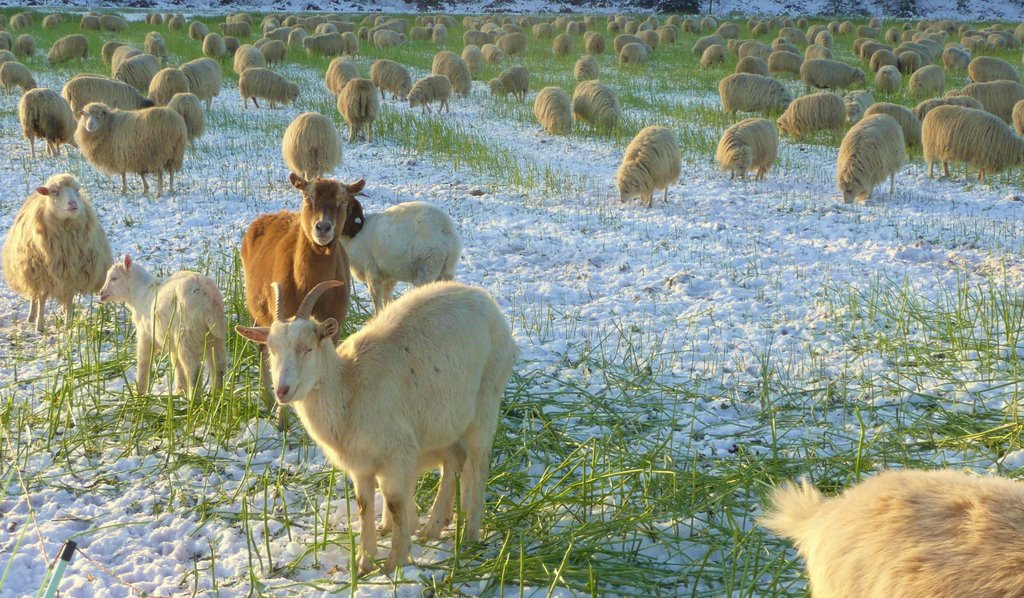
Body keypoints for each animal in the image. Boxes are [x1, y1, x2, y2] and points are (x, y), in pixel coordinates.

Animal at [1, 172, 111, 331]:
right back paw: (31, 316)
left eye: (77, 189)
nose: (73, 204)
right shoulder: (42, 274)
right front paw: (39, 325)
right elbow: (41, 299)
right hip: (31, 271)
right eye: (54, 191)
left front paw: (68, 324)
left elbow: (69, 298)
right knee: (34, 296)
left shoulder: (73, 274)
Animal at [98, 254, 226, 395]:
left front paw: (139, 392)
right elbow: (176, 363)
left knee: (194, 370)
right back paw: (218, 394)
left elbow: (144, 361)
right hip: (213, 335)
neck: (138, 293)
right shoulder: (170, 340)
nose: (101, 293)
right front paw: (179, 391)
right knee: (219, 365)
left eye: (114, 278)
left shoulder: (146, 334)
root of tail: (206, 296)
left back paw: (194, 397)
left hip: (185, 335)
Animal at [236, 278, 516, 577]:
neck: (349, 387)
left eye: (307, 348)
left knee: (479, 462)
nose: (282, 390)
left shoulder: (398, 451)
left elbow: (394, 501)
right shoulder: (360, 463)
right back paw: (436, 525)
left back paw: (469, 534)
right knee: (456, 461)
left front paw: (395, 561)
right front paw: (364, 561)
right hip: (447, 418)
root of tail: (483, 297)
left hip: (486, 399)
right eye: (272, 350)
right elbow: (363, 504)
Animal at [241, 171, 366, 428]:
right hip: (258, 313)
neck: (307, 280)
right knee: (262, 351)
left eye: (343, 200)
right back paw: (268, 401)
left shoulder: (334, 323)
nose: (323, 227)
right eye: (308, 196)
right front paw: (281, 423)